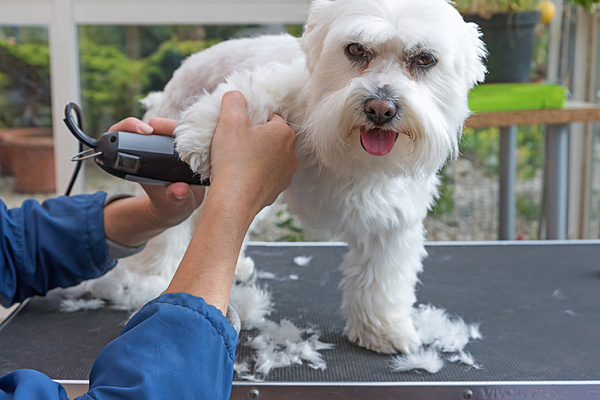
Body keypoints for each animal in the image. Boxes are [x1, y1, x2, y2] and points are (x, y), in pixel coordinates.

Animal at [79, 0, 486, 354]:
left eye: (424, 59)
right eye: (355, 49)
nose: (380, 108)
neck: (349, 150)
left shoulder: (393, 219)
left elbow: (381, 277)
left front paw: (382, 329)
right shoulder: (283, 90)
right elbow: (246, 96)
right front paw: (205, 139)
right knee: (170, 236)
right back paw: (155, 276)